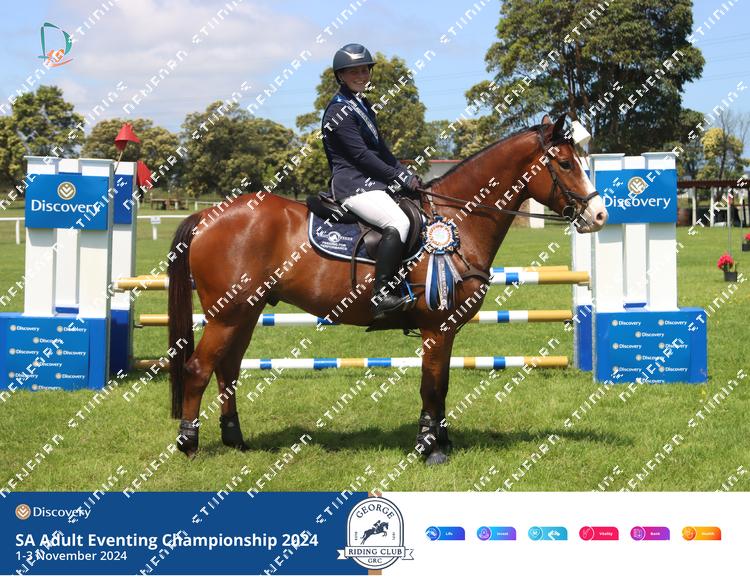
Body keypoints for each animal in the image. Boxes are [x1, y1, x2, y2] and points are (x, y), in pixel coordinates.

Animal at [166, 113, 608, 465]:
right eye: (565, 163)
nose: (599, 215)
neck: (456, 220)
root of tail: (207, 215)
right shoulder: (436, 328)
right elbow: (432, 386)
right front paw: (429, 448)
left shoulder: (447, 330)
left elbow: (442, 386)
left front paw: (442, 439)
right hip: (227, 315)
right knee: (198, 369)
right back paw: (189, 444)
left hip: (247, 312)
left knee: (227, 368)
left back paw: (235, 439)